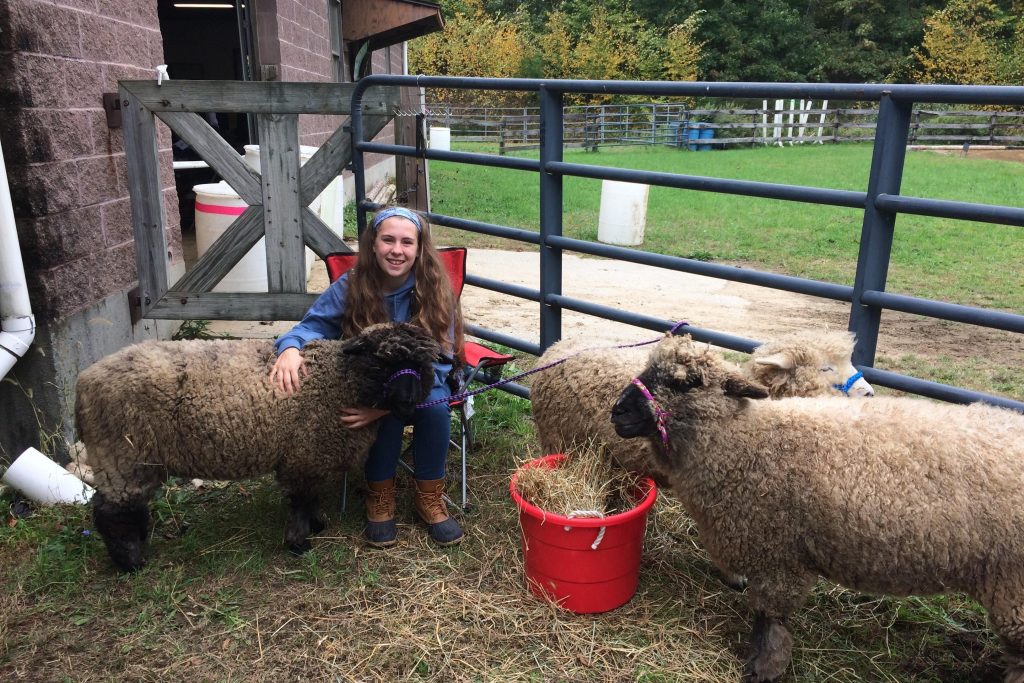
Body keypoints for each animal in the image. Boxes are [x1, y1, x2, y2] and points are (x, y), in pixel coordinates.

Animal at [74, 321, 436, 573]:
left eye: (422, 365)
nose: (408, 403)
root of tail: (84, 381)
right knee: (111, 512)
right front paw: (299, 542)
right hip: (124, 455)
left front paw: (318, 525)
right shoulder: (303, 455)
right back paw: (131, 562)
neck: (338, 380)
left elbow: (312, 498)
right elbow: (301, 502)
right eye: (380, 363)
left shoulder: (311, 458)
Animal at [606, 335, 1024, 683]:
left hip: (1012, 586)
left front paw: (764, 669)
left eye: (687, 381)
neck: (744, 441)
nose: (618, 412)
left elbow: (770, 619)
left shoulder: (778, 556)